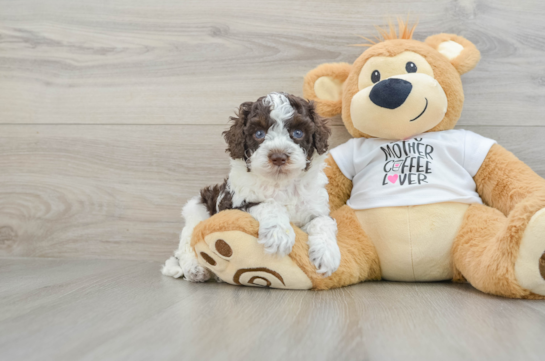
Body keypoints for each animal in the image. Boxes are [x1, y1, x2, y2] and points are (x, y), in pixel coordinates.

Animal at [162, 92, 340, 282]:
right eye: (259, 133)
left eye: (298, 133)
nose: (278, 157)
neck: (280, 183)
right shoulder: (233, 206)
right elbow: (268, 204)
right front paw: (279, 234)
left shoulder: (316, 208)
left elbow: (323, 221)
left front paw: (327, 254)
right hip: (197, 210)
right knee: (186, 244)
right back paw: (195, 270)